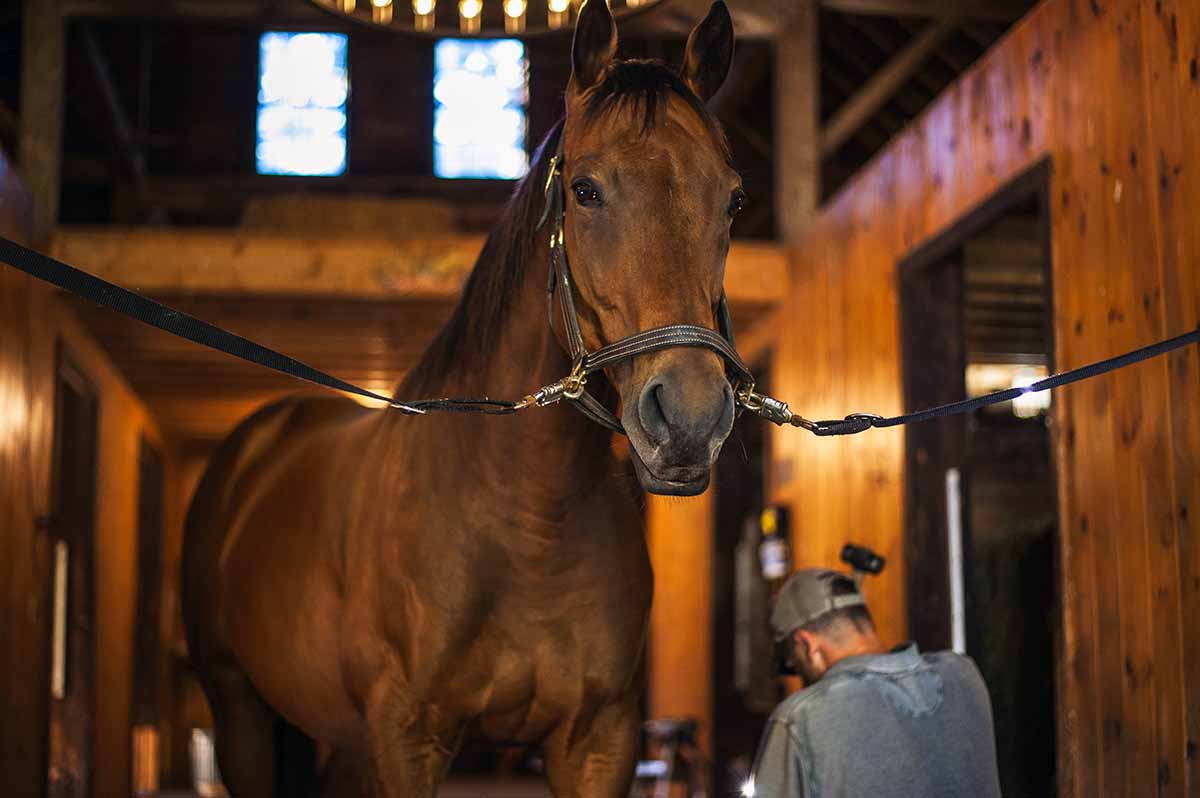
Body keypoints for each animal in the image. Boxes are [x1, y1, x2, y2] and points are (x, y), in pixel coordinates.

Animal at [182, 2, 740, 795]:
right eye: (586, 190)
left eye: (733, 198)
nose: (689, 419)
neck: (527, 525)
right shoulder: (406, 738)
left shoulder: (600, 742)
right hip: (240, 715)